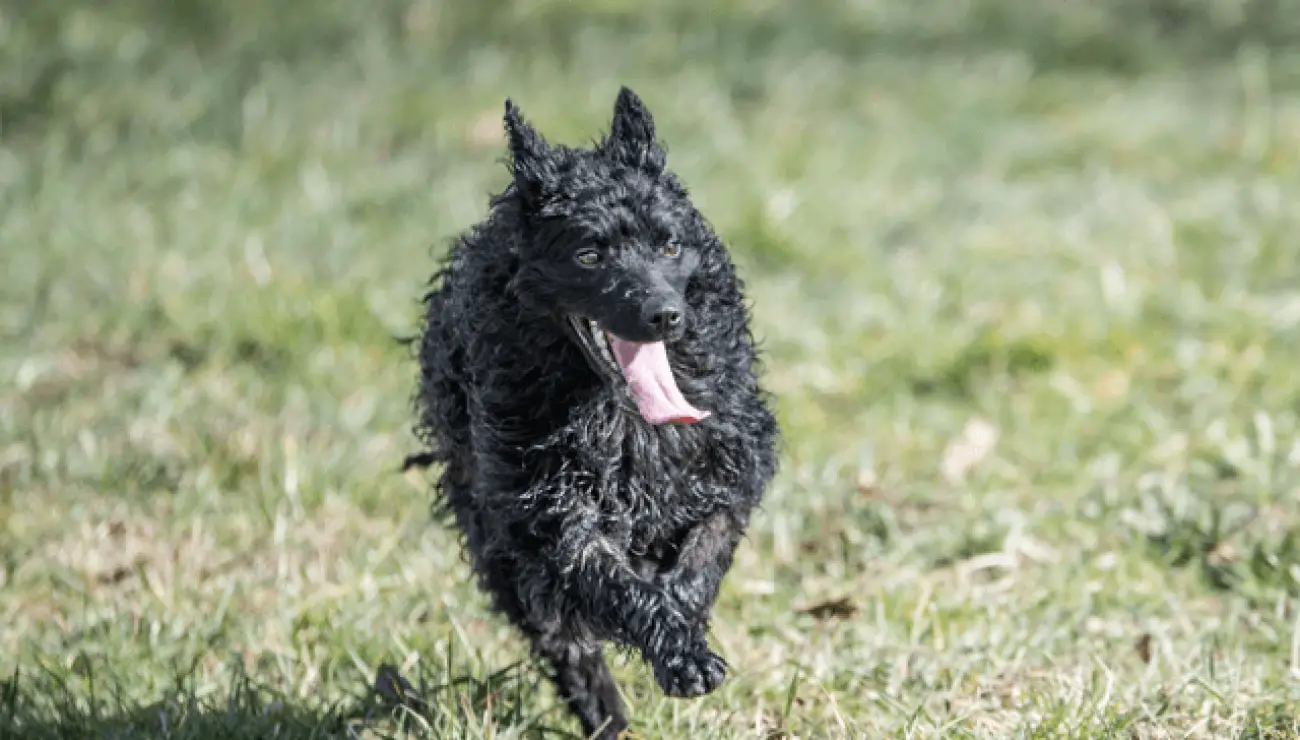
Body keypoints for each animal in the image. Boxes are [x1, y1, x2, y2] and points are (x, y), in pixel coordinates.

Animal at [416, 87, 774, 738]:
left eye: (669, 245)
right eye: (588, 256)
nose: (664, 315)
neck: (623, 418)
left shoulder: (729, 469)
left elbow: (701, 558)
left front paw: (684, 624)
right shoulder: (548, 516)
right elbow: (614, 588)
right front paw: (678, 651)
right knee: (566, 644)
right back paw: (608, 718)